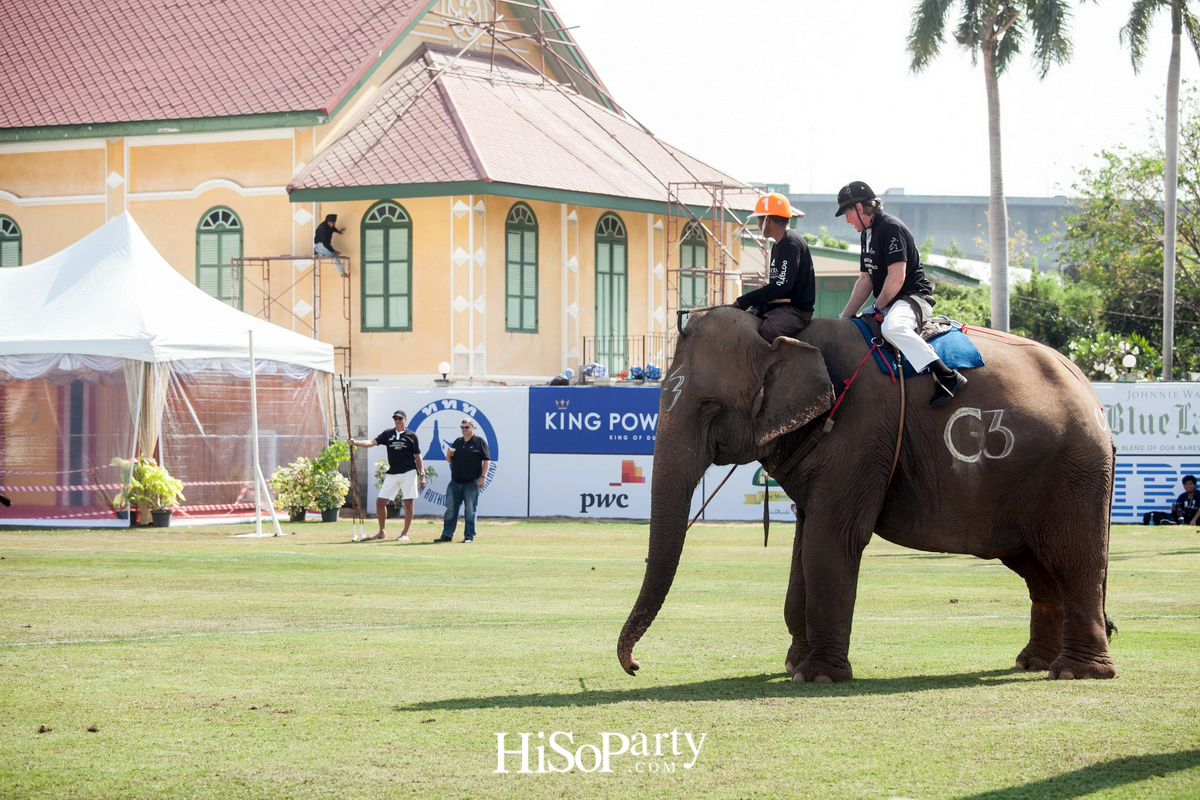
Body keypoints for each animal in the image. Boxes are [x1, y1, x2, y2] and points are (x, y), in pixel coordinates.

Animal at [617, 307, 1117, 682]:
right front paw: (795, 666)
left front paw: (817, 676)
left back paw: (1076, 672)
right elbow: (803, 543)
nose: (636, 666)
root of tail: (1091, 392)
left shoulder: (861, 432)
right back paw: (1034, 663)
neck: (790, 335)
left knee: (1073, 558)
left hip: (1074, 472)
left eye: (708, 405)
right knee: (1038, 568)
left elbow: (831, 539)